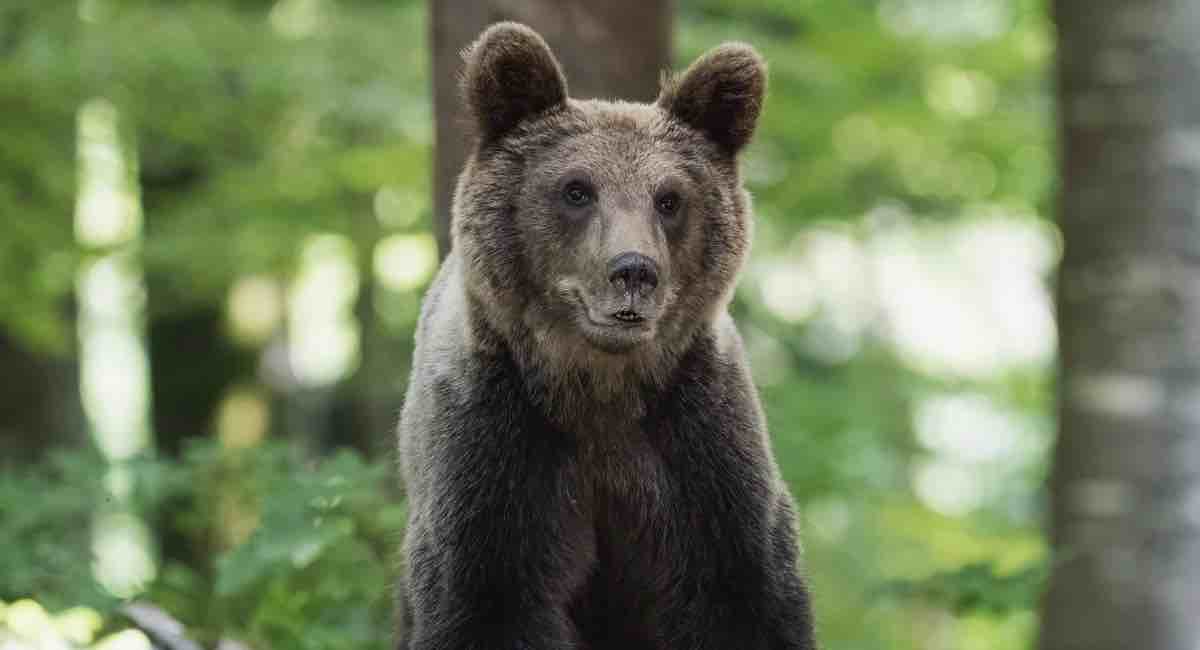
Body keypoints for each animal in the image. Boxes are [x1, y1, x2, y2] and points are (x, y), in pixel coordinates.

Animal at [398, 21, 820, 650]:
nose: (634, 271)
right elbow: (486, 603)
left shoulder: (701, 454)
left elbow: (744, 599)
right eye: (577, 189)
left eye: (669, 198)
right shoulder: (495, 451)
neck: (599, 389)